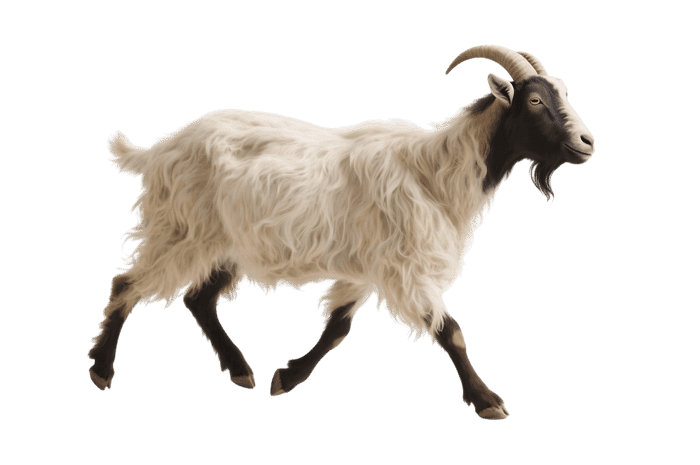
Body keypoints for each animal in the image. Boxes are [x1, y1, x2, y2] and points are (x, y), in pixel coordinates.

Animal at [88, 44, 595, 420]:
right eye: (535, 100)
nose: (587, 143)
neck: (435, 175)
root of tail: (158, 150)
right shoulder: (404, 268)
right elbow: (451, 332)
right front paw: (488, 401)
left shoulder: (366, 268)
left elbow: (337, 328)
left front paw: (287, 377)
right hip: (182, 231)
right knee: (127, 284)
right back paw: (102, 370)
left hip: (223, 242)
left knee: (198, 298)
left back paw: (239, 369)